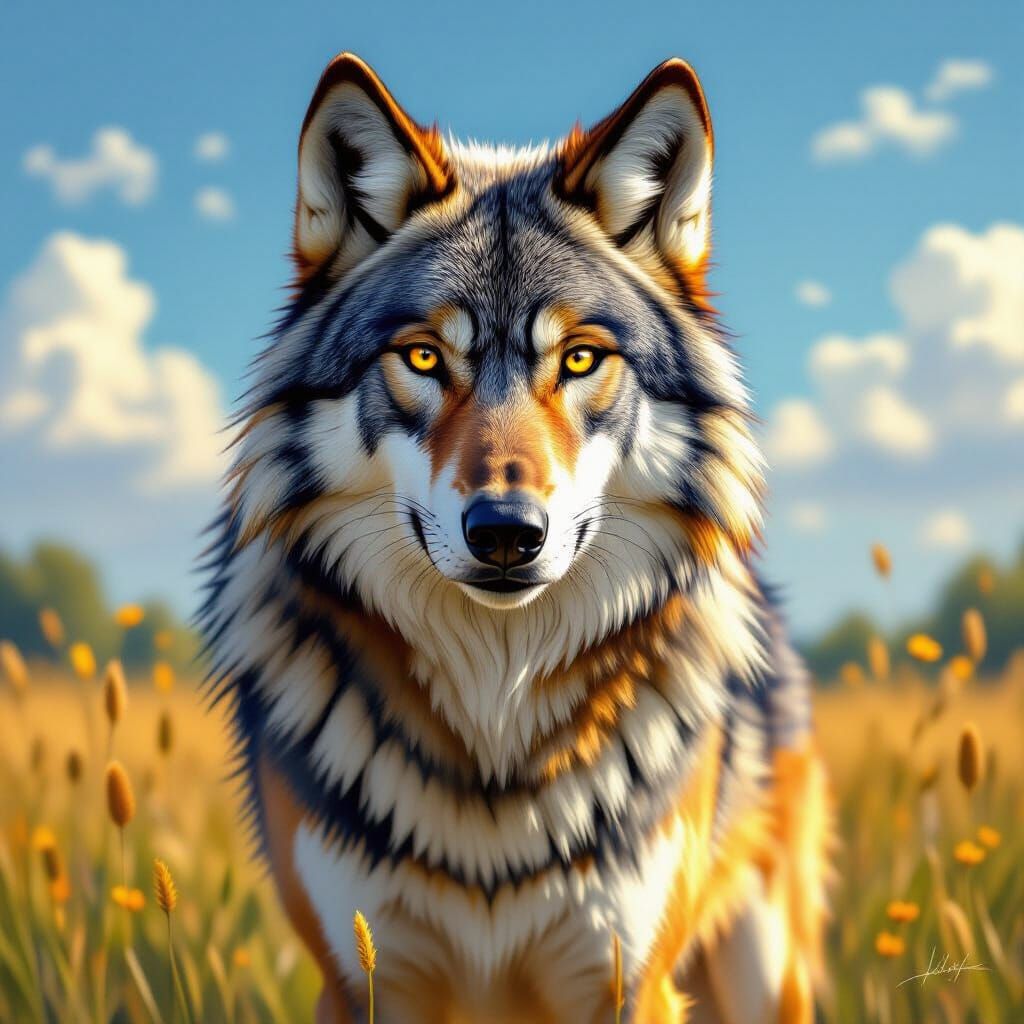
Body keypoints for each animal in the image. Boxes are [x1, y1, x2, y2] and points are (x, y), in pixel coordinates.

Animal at [200, 52, 831, 1023]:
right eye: (424, 357)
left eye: (579, 359)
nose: (506, 533)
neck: (496, 712)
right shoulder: (361, 980)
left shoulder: (631, 983)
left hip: (764, 974)